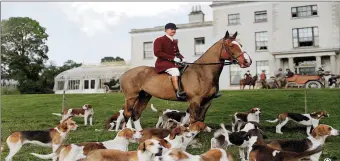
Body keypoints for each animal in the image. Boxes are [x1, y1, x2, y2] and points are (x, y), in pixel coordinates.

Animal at [119, 30, 252, 130]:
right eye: (231, 46)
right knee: (128, 113)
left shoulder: (207, 101)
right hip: (131, 97)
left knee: (136, 114)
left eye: (240, 45)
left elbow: (200, 119)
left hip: (144, 96)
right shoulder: (195, 100)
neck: (202, 72)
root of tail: (125, 73)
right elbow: (194, 119)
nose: (247, 61)